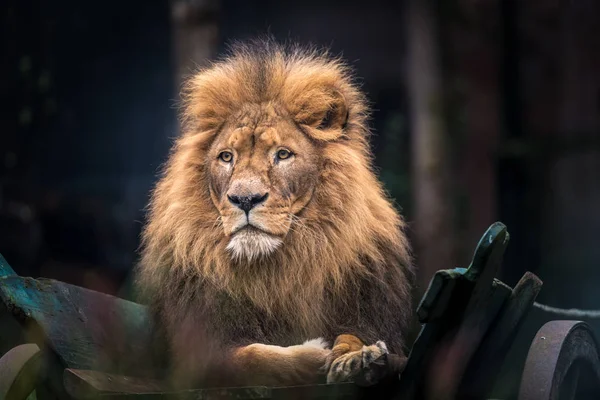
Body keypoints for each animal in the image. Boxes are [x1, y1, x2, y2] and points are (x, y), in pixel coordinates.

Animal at [136, 38, 414, 390]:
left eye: (282, 155)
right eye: (226, 157)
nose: (245, 199)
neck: (277, 270)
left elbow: (358, 337)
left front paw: (357, 357)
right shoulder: (193, 361)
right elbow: (252, 359)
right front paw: (315, 353)